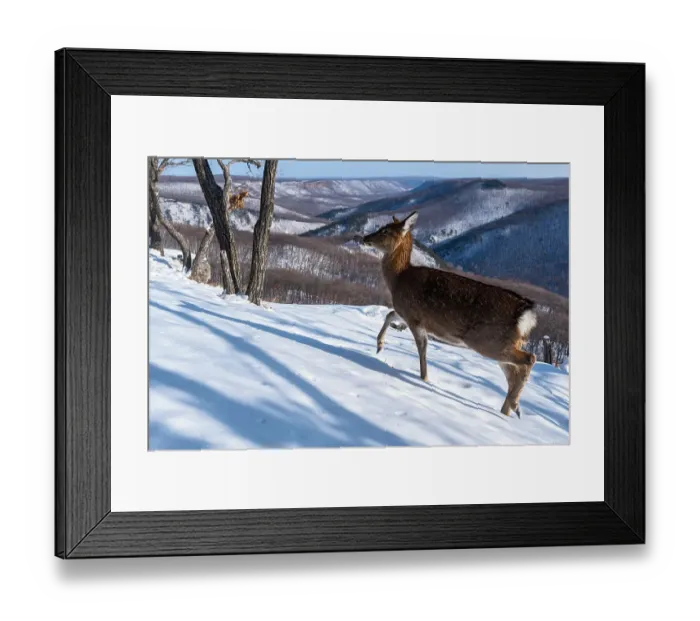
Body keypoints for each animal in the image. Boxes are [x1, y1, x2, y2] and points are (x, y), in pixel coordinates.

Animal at [361, 211, 537, 418]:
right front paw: (379, 346)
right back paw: (509, 410)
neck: (398, 279)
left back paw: (514, 405)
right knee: (512, 374)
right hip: (502, 343)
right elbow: (390, 314)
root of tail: (526, 315)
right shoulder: (406, 312)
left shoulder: (413, 315)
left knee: (529, 359)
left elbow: (422, 347)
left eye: (385, 230)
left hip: (488, 340)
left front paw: (424, 378)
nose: (365, 238)